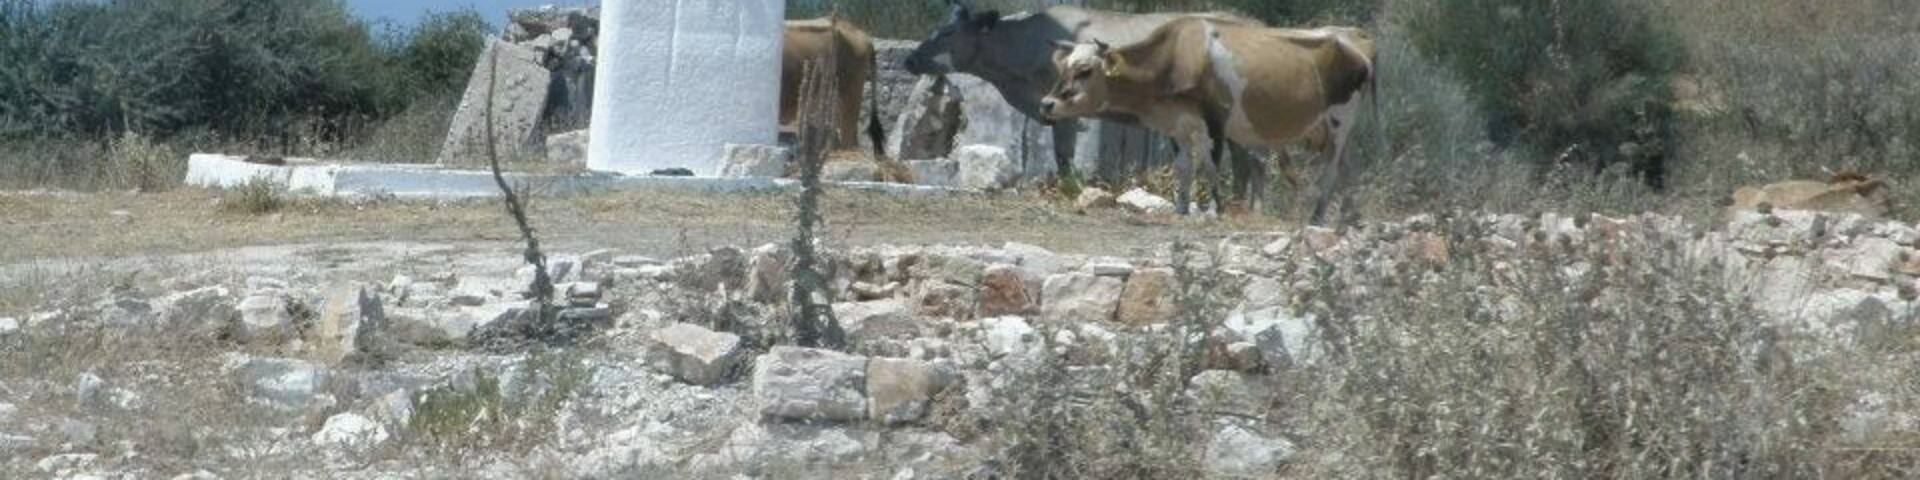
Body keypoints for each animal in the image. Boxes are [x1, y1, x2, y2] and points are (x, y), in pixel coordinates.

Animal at [903, 3, 1262, 193]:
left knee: (1255, 161)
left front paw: (1067, 188)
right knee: (1245, 162)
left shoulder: (1065, 109)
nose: (910, 59)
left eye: (948, 33)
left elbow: (1063, 155)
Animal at [1039, 18, 1378, 222]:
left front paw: (1216, 209)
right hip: (1326, 132)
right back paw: (1348, 218)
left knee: (1332, 170)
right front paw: (1181, 208)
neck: (1178, 57)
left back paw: (1318, 217)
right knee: (1349, 169)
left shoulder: (1216, 121)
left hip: (1340, 121)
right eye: (1062, 68)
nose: (1046, 104)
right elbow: (1185, 167)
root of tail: (1354, 37)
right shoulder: (1179, 126)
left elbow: (1212, 166)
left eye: (1085, 70)